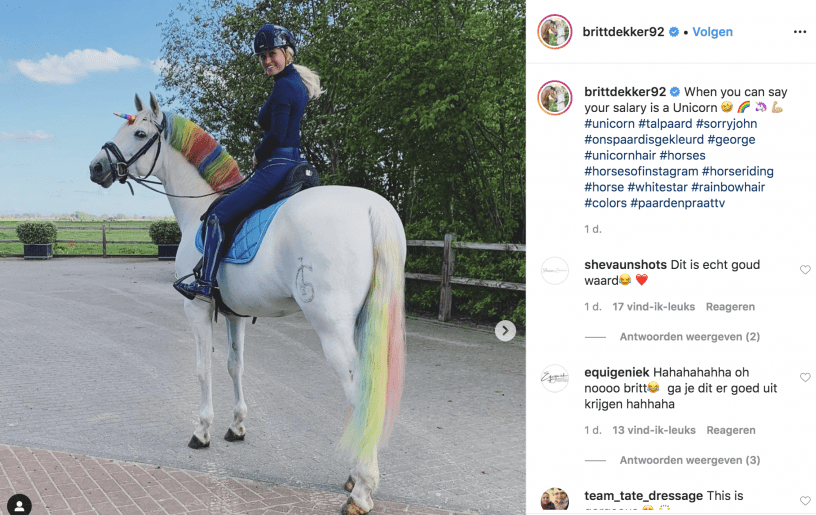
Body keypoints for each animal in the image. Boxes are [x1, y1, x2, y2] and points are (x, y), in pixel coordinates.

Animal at [89, 93, 407, 515]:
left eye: (139, 133)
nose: (96, 166)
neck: (202, 209)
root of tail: (372, 207)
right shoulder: (234, 314)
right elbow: (234, 366)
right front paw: (236, 427)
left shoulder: (197, 308)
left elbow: (203, 368)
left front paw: (201, 431)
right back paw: (356, 475)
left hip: (333, 329)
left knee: (358, 392)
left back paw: (361, 489)